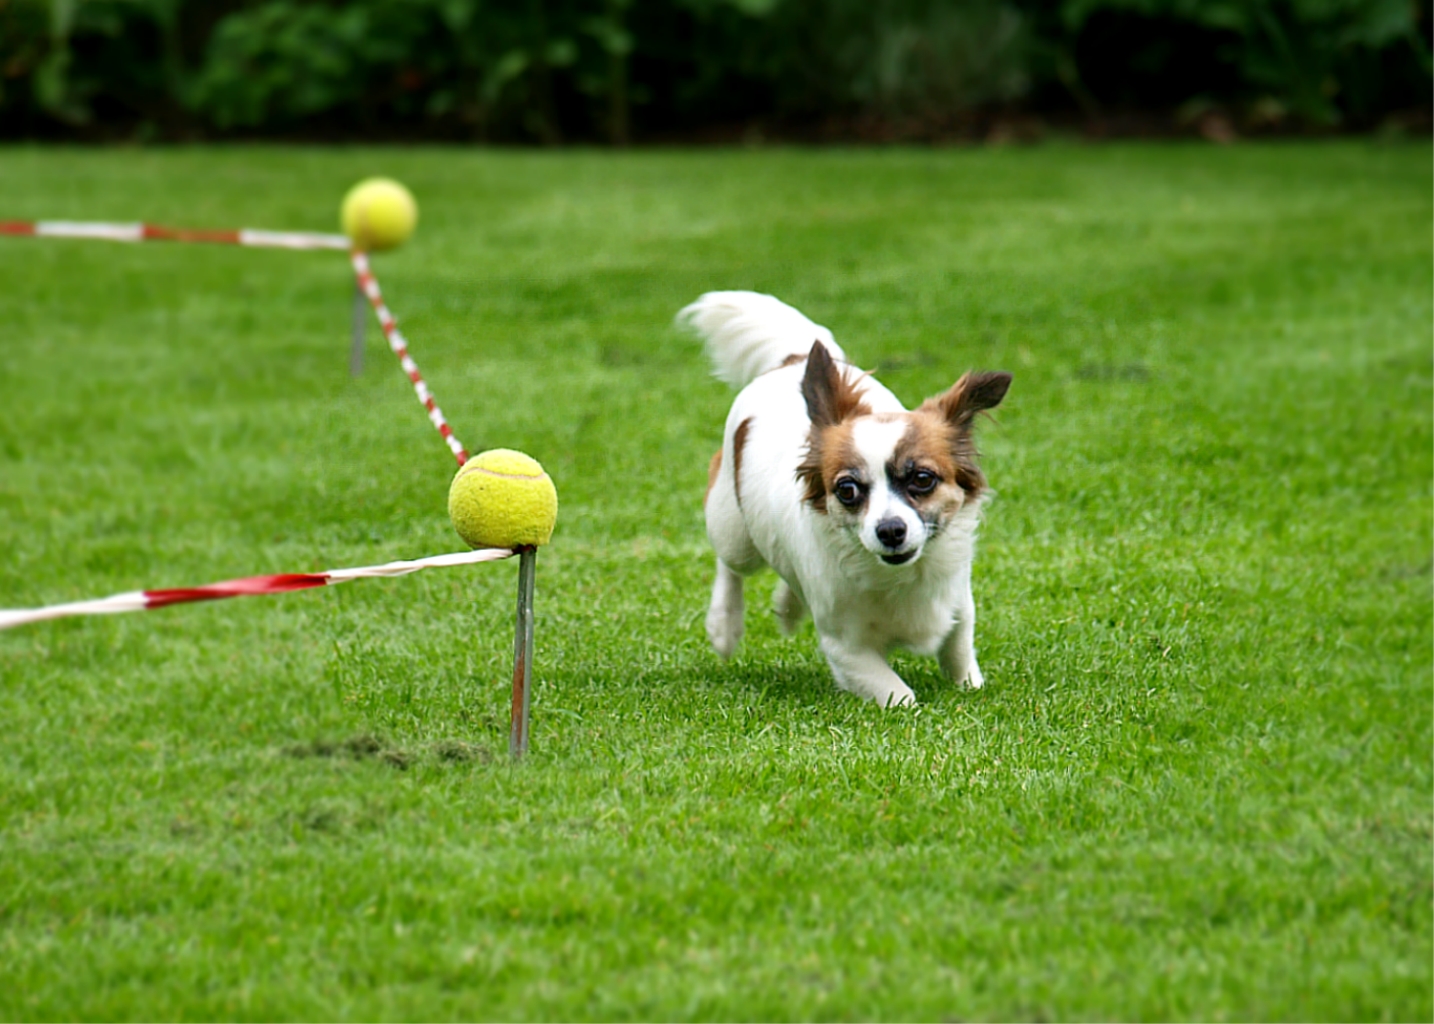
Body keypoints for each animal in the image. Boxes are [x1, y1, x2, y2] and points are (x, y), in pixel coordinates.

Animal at [679, 286, 1009, 702]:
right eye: (847, 489)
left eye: (922, 479)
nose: (890, 531)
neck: (897, 575)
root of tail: (794, 360)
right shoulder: (846, 649)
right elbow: (898, 695)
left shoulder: (958, 605)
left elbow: (959, 652)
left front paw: (969, 685)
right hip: (733, 529)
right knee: (730, 565)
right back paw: (724, 625)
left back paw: (788, 608)